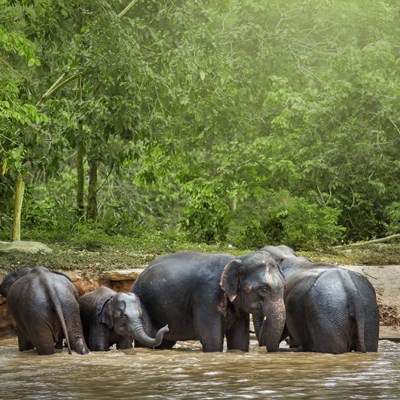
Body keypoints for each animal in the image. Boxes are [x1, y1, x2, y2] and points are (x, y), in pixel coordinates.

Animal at [132, 252, 288, 352]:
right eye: (263, 289)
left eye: (284, 287)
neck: (237, 260)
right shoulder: (206, 296)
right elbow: (213, 341)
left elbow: (239, 341)